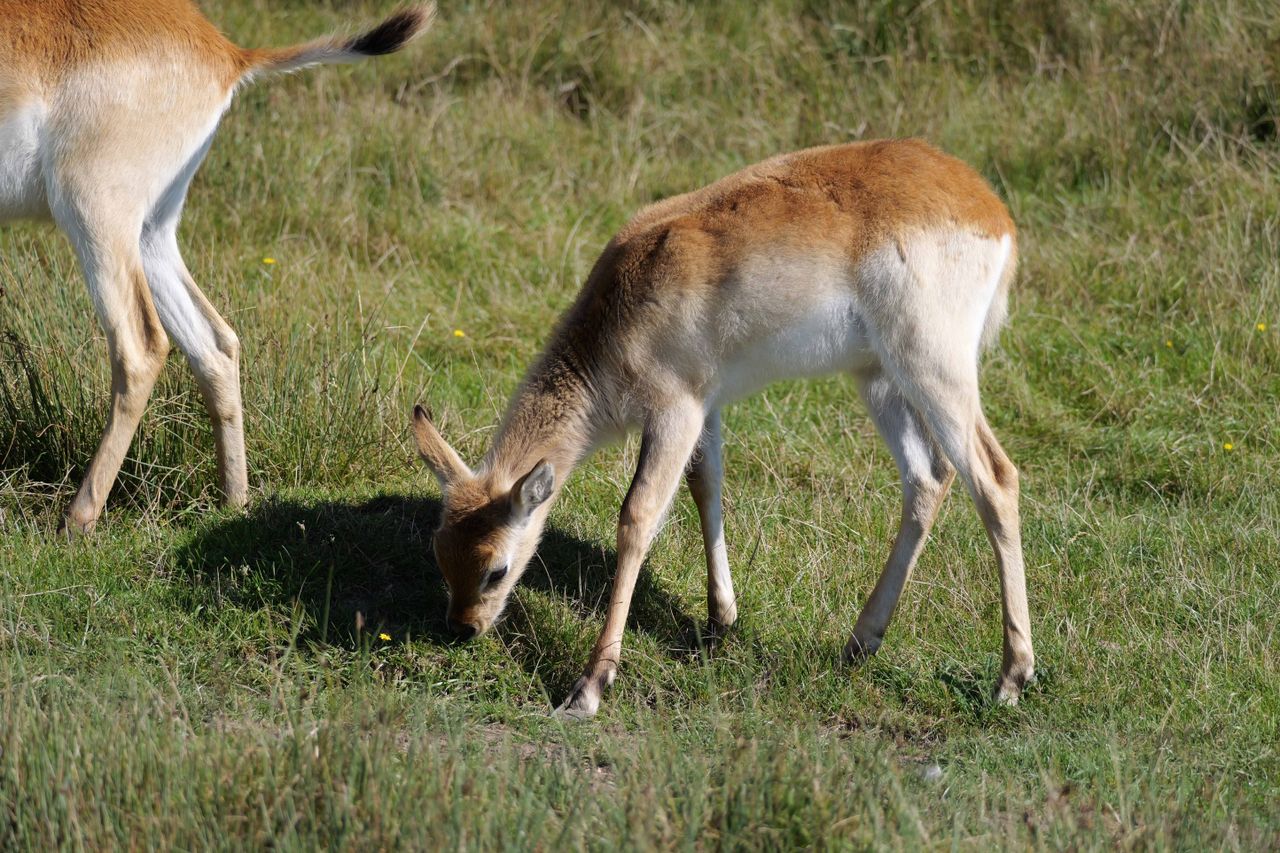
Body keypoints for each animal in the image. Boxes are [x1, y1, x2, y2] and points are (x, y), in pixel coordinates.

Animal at [0, 0, 434, 534]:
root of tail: (227, 53)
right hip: (151, 233)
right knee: (216, 343)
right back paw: (234, 501)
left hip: (94, 215)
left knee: (141, 347)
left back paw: (76, 522)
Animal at [412, 138, 1035, 719]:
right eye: (440, 551)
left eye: (496, 569)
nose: (462, 628)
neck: (624, 306)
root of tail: (987, 205)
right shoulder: (705, 409)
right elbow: (705, 487)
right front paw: (720, 621)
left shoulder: (675, 411)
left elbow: (637, 518)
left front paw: (589, 686)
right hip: (879, 378)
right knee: (927, 479)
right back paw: (860, 643)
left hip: (934, 370)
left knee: (995, 479)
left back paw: (1011, 677)